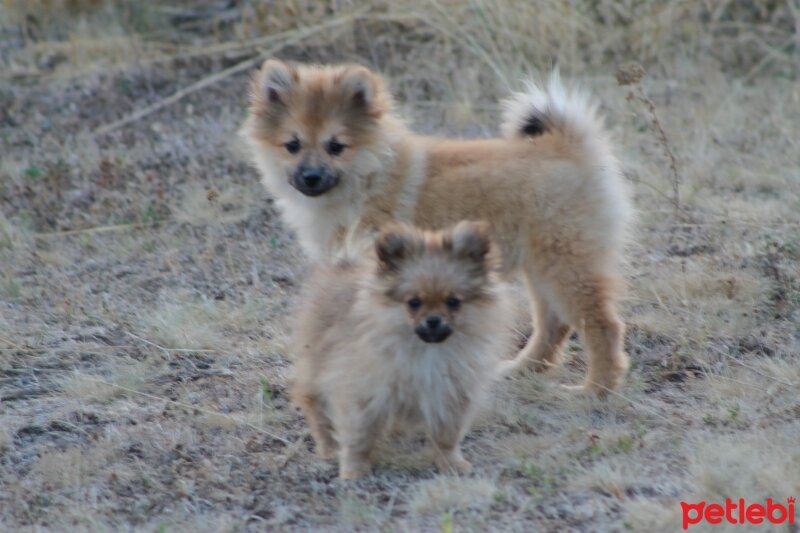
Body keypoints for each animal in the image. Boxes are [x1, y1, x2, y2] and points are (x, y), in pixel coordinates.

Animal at [244, 60, 632, 392]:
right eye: (292, 145)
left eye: (336, 146)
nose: (310, 177)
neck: (368, 179)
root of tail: (568, 147)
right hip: (541, 267)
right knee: (553, 324)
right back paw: (524, 368)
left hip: (565, 264)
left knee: (603, 324)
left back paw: (595, 389)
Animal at [290, 220, 512, 478]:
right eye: (414, 302)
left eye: (453, 302)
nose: (433, 320)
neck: (427, 352)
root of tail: (343, 264)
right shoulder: (362, 394)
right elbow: (358, 437)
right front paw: (354, 471)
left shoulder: (451, 396)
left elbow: (447, 436)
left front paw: (450, 463)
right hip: (318, 365)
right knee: (315, 406)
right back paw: (328, 448)